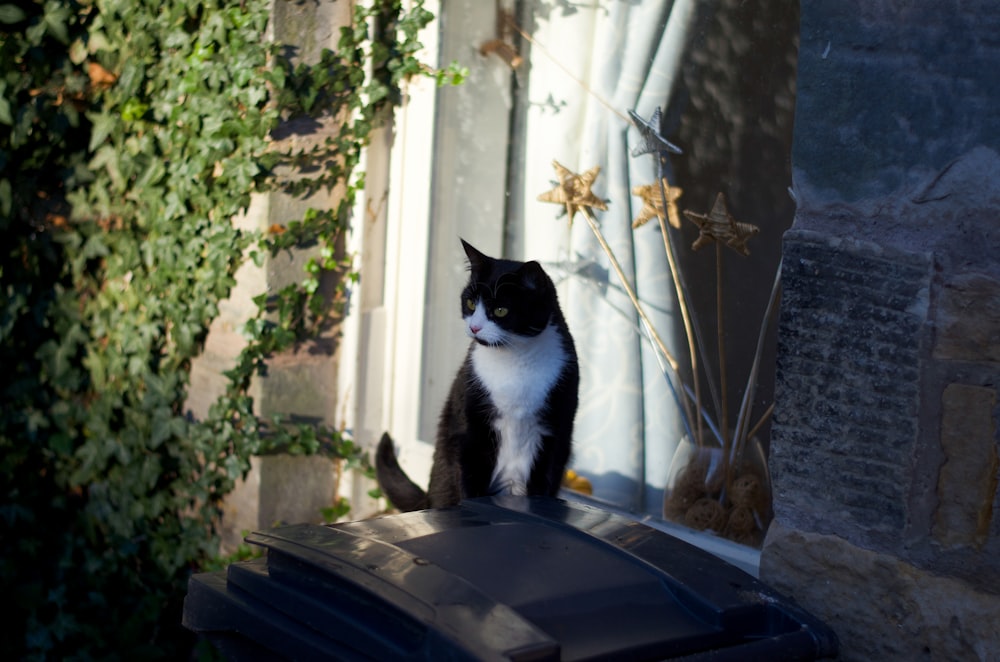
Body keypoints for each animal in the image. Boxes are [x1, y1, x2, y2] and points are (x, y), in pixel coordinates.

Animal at [376, 240, 580, 512]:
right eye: (471, 303)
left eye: (501, 310)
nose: (474, 327)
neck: (514, 359)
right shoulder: (470, 428)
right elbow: (469, 478)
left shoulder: (557, 429)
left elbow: (546, 479)